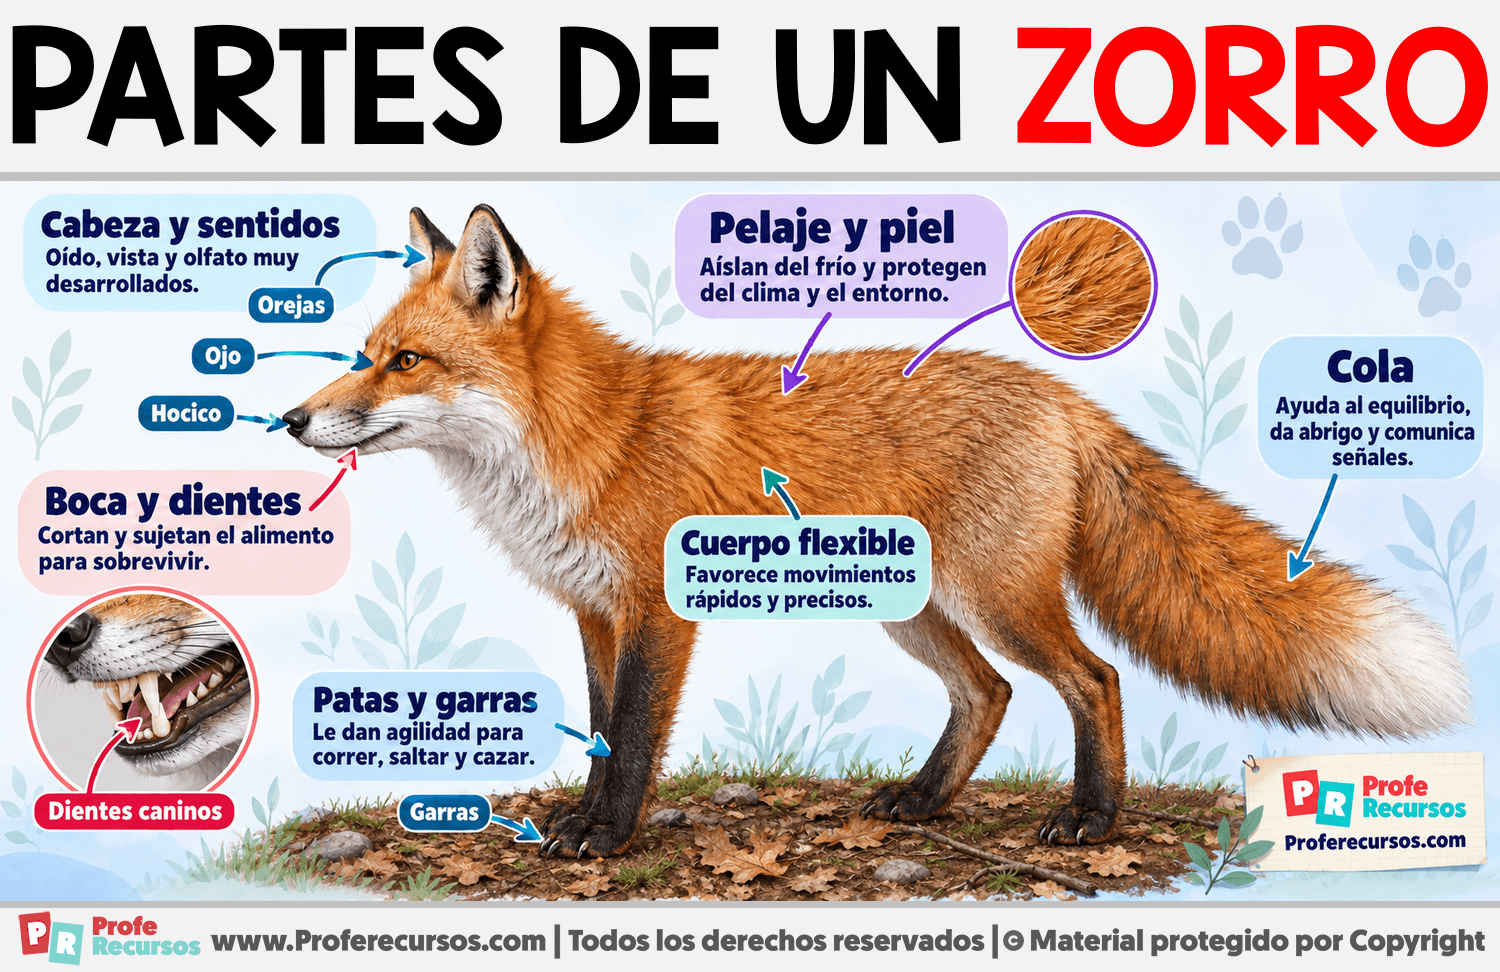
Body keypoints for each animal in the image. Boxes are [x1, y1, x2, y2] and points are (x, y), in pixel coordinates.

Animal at [282, 204, 1469, 857]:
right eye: (363, 352)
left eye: (404, 362)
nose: (291, 420)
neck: (587, 441)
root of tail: (1059, 394)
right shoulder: (592, 611)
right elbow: (604, 730)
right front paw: (584, 824)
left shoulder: (657, 612)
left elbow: (633, 740)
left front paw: (606, 840)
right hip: (916, 611)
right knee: (988, 695)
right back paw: (926, 801)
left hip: (1000, 598)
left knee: (1092, 680)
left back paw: (1094, 820)